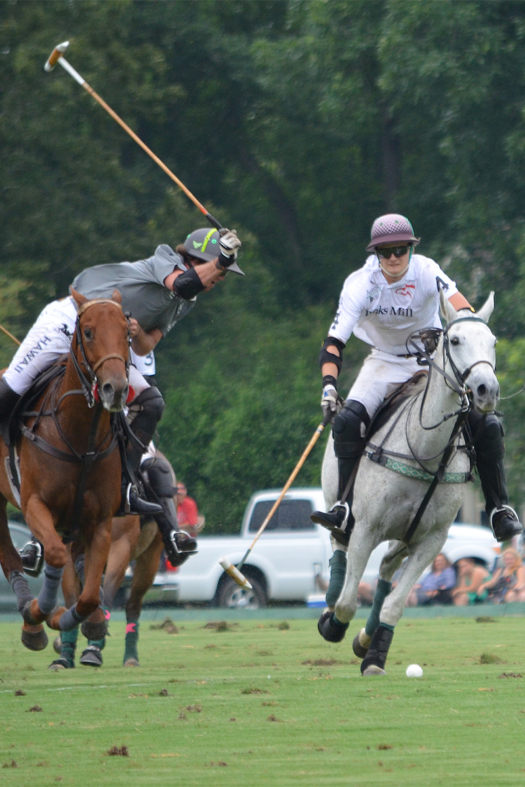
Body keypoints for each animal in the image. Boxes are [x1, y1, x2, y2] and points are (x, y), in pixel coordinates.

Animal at [0, 290, 130, 652]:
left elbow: (88, 595)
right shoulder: (34, 505)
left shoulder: (100, 520)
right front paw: (43, 613)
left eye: (127, 333)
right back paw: (29, 616)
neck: (79, 439)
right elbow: (56, 556)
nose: (116, 388)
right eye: (87, 331)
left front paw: (83, 620)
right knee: (8, 552)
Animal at [320, 292, 496, 676]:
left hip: (404, 534)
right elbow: (347, 602)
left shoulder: (432, 540)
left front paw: (372, 654)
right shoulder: (367, 528)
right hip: (337, 499)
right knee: (337, 541)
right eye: (454, 340)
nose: (486, 390)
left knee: (386, 569)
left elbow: (394, 605)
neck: (425, 452)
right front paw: (332, 625)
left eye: (492, 342)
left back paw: (365, 639)